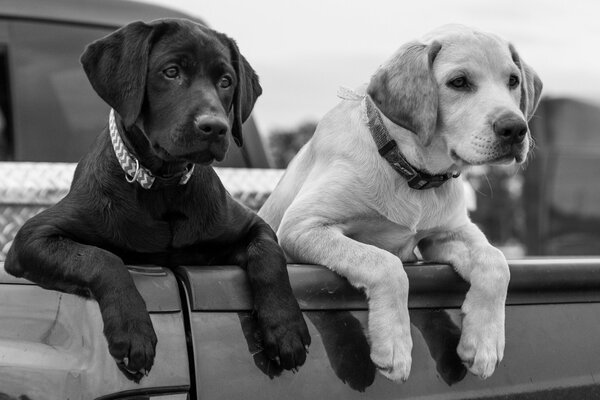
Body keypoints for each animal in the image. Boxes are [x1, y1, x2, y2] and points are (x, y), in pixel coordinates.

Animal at [5, 18, 310, 382]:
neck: (163, 185)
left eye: (226, 81)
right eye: (171, 72)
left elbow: (269, 257)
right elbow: (102, 258)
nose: (216, 127)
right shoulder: (33, 236)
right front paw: (133, 330)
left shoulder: (253, 226)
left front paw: (286, 328)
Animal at [260, 25, 540, 382]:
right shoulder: (302, 225)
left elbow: (497, 262)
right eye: (459, 82)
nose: (516, 129)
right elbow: (386, 263)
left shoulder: (449, 233)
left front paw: (484, 344)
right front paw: (393, 345)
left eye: (513, 81)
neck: (411, 171)